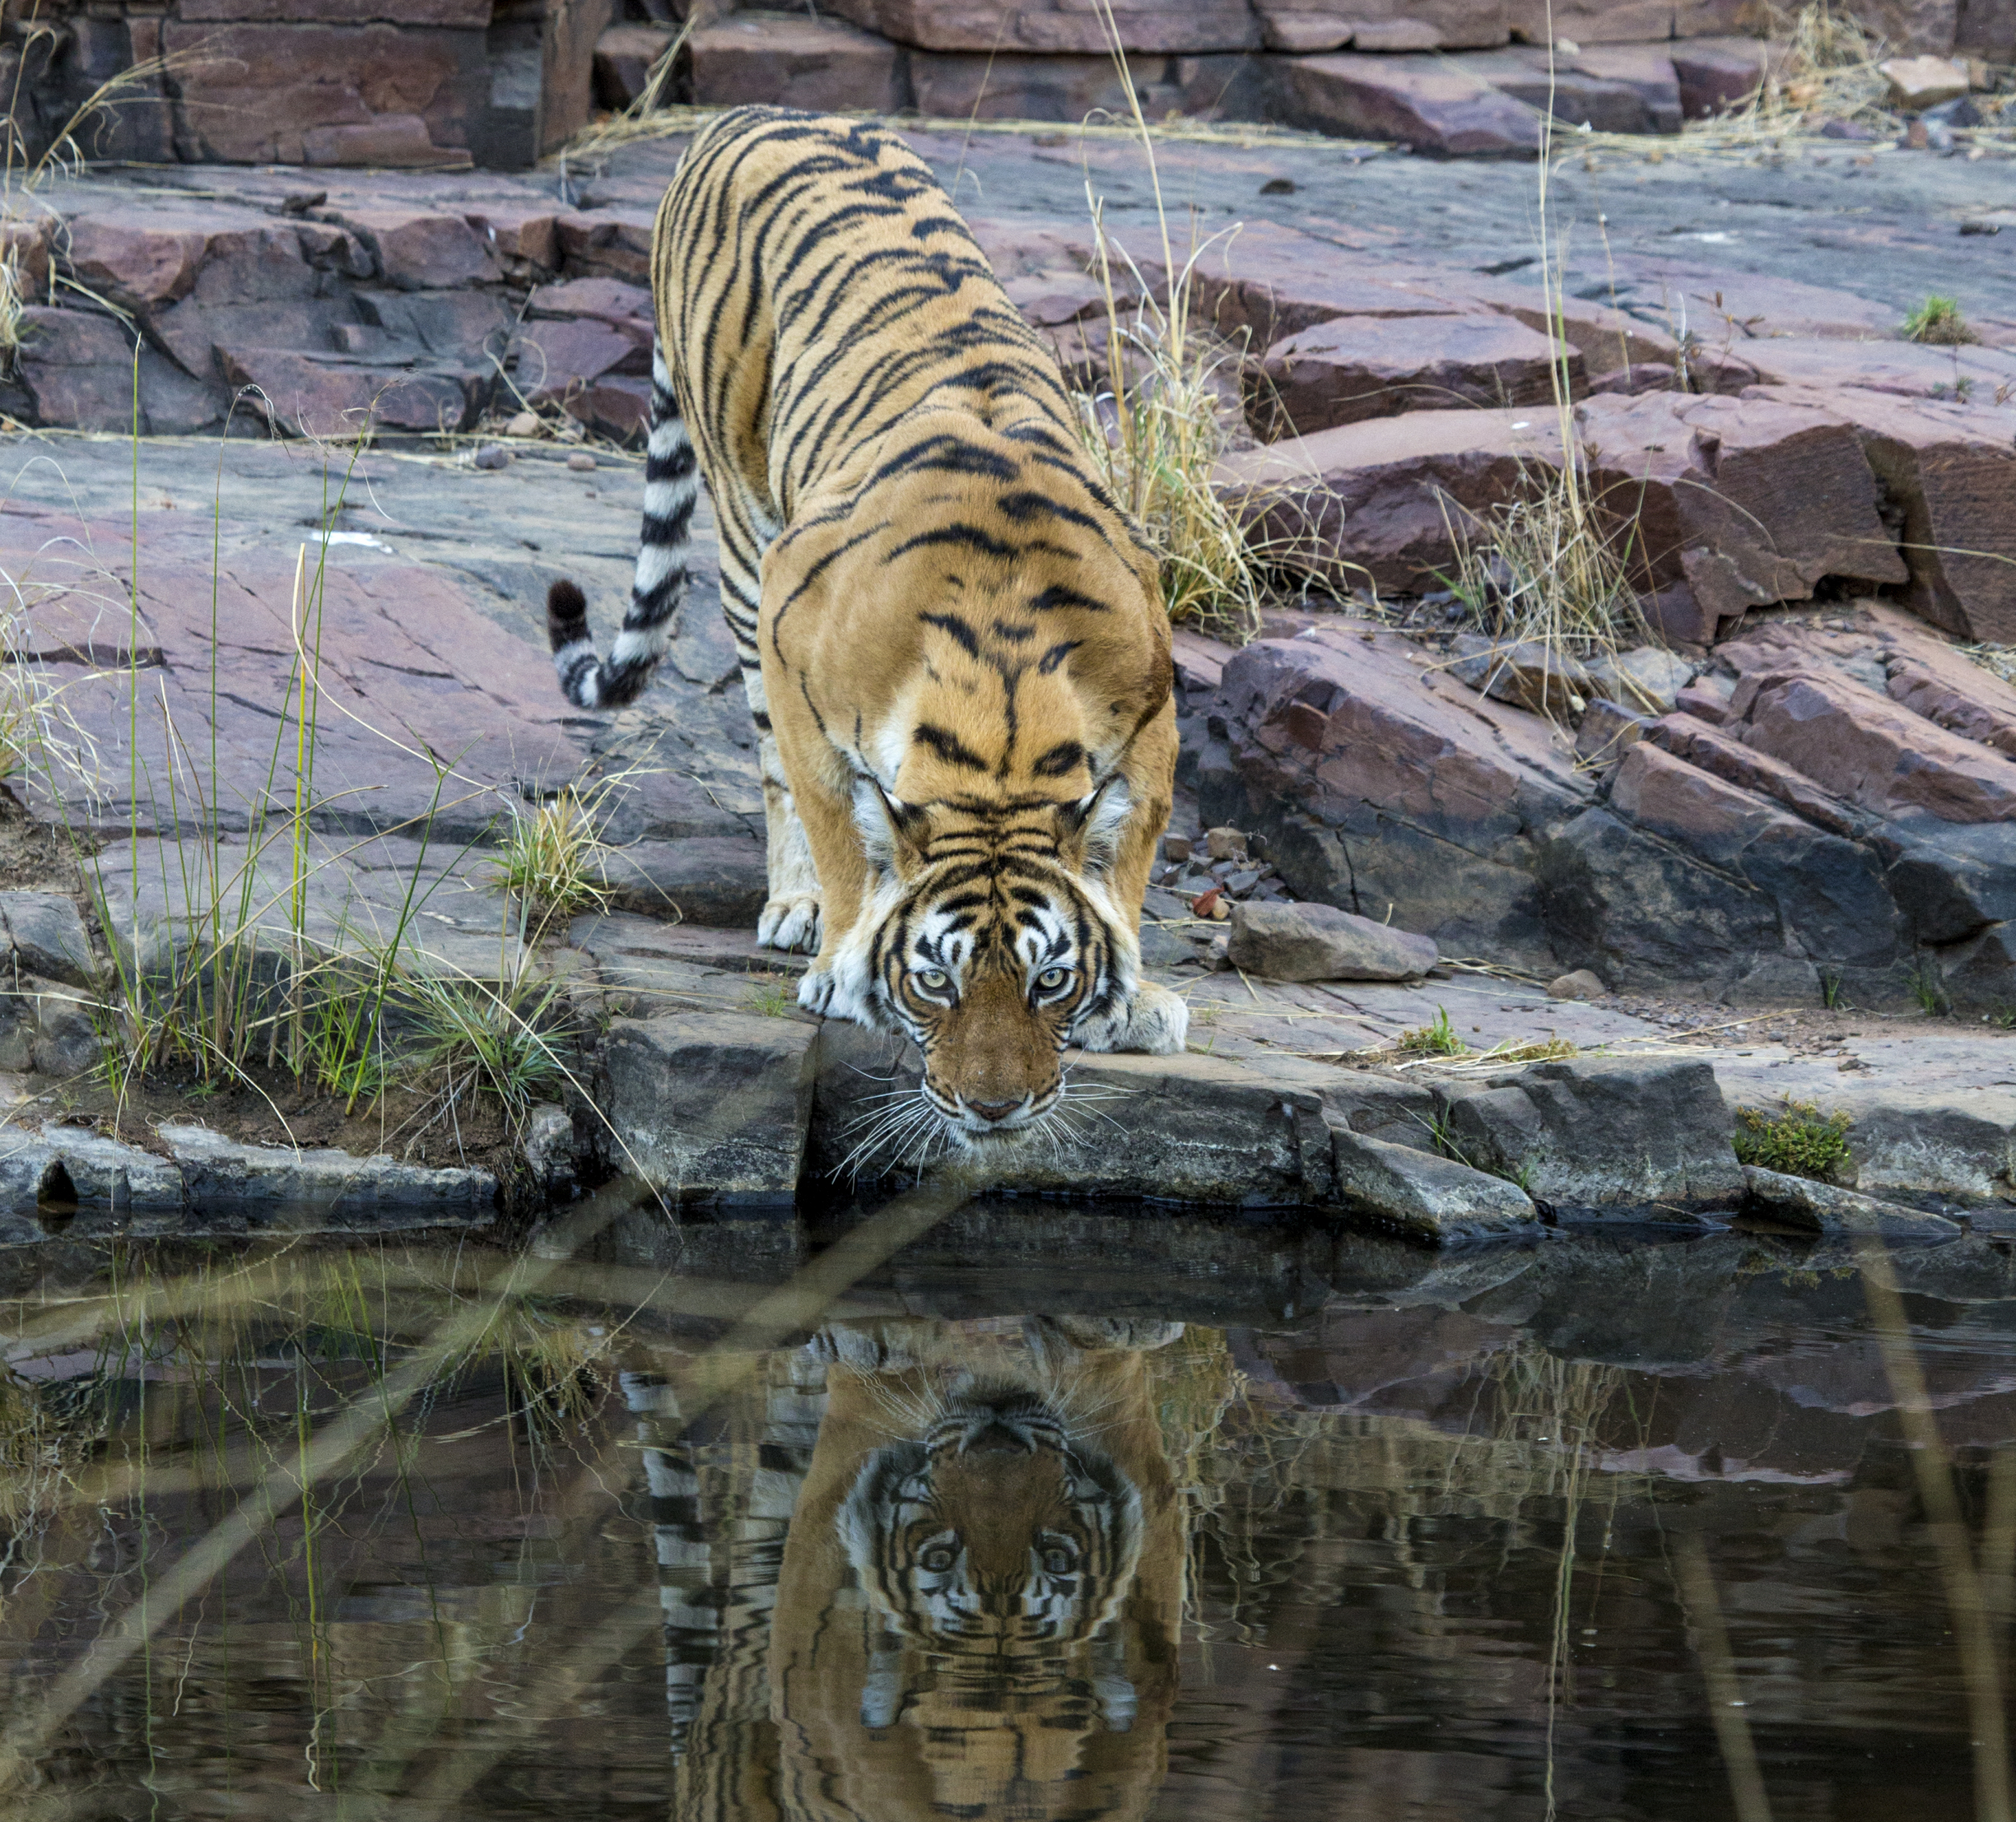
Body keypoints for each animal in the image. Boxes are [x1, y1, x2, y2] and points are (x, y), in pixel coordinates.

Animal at [544, 108, 1188, 1147]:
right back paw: (794, 905)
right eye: (935, 981)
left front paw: (1132, 998)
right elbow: (839, 830)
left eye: (1050, 980)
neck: (1002, 716)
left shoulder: (1154, 721)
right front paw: (839, 960)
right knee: (768, 759)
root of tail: (743, 115)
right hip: (743, 536)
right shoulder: (798, 668)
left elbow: (1126, 855)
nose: (996, 1110)